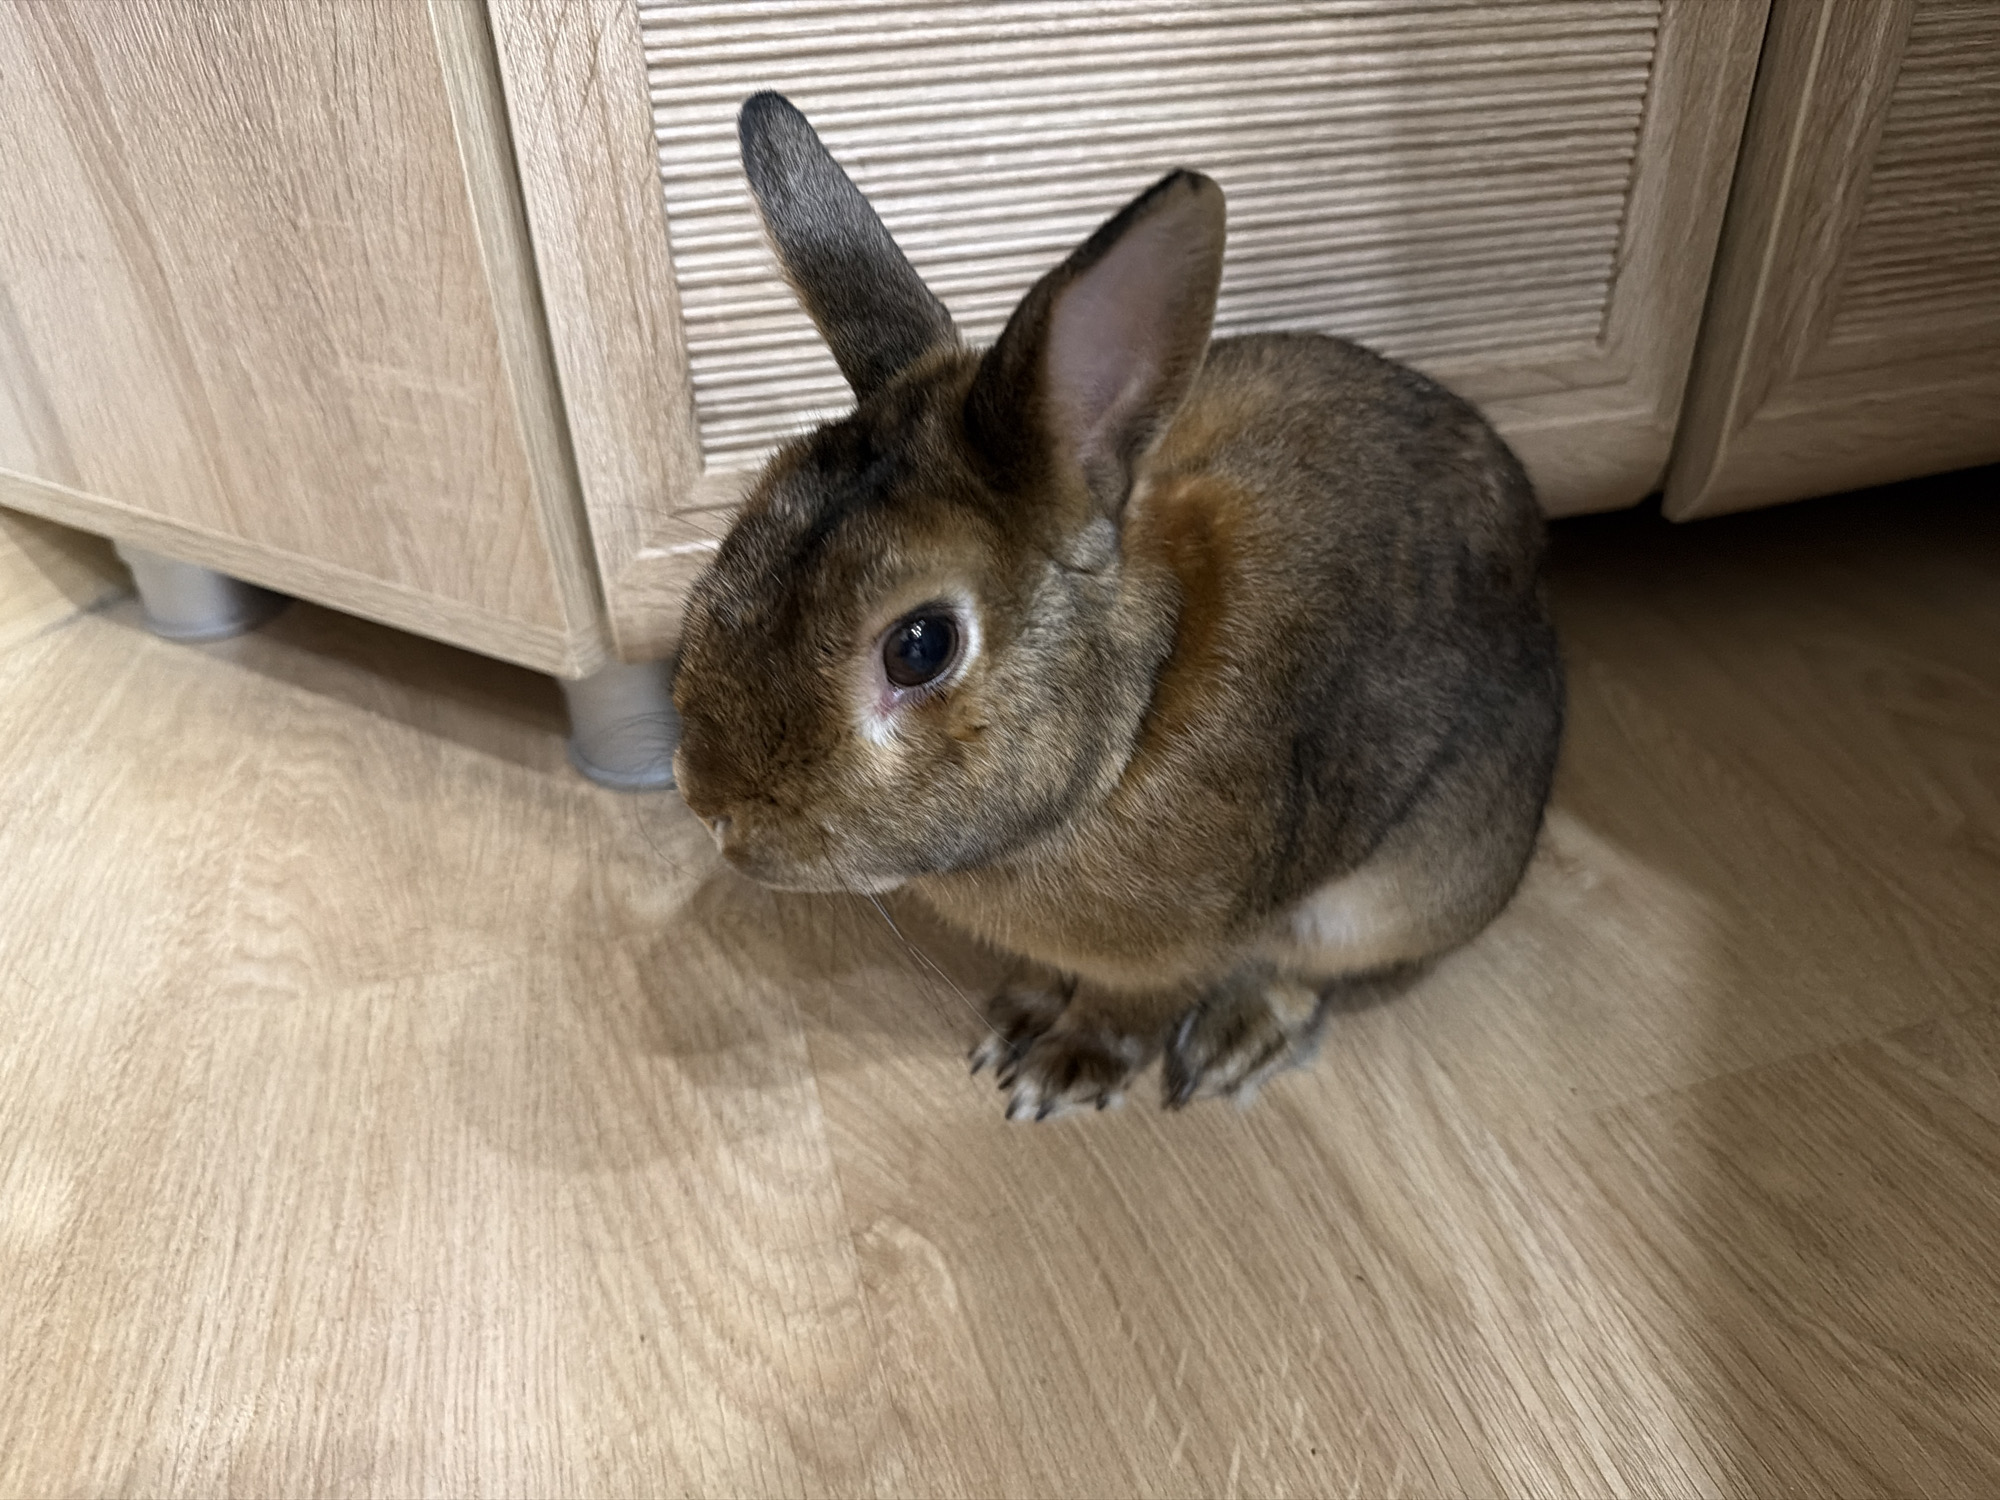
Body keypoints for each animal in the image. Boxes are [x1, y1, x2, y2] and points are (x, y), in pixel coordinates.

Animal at [672, 92, 1564, 1119]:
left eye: (920, 646)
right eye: (742, 531)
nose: (712, 807)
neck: (1131, 726)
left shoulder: (1179, 950)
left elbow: (1132, 1007)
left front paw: (1064, 1070)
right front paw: (1019, 1015)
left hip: (1402, 889)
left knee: (1323, 973)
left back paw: (1236, 1043)